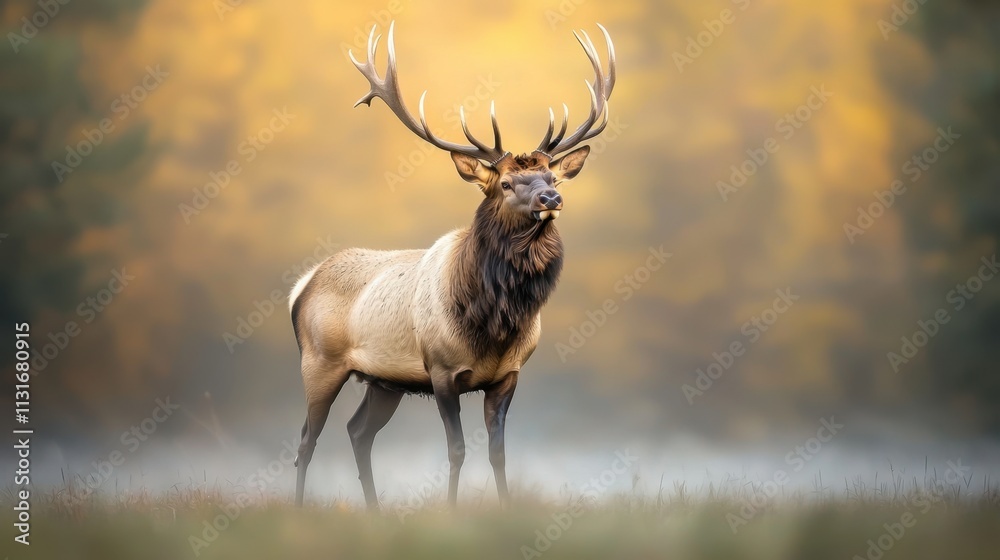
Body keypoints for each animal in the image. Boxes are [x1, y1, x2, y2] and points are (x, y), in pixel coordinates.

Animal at [290, 21, 616, 510]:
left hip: (383, 381)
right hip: (319, 361)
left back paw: (375, 511)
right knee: (307, 439)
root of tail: (302, 286)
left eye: (551, 176)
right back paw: (297, 506)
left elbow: (499, 452)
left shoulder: (507, 377)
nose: (551, 198)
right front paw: (450, 509)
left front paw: (505, 508)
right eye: (505, 183)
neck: (493, 323)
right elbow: (457, 450)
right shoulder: (441, 371)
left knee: (358, 431)